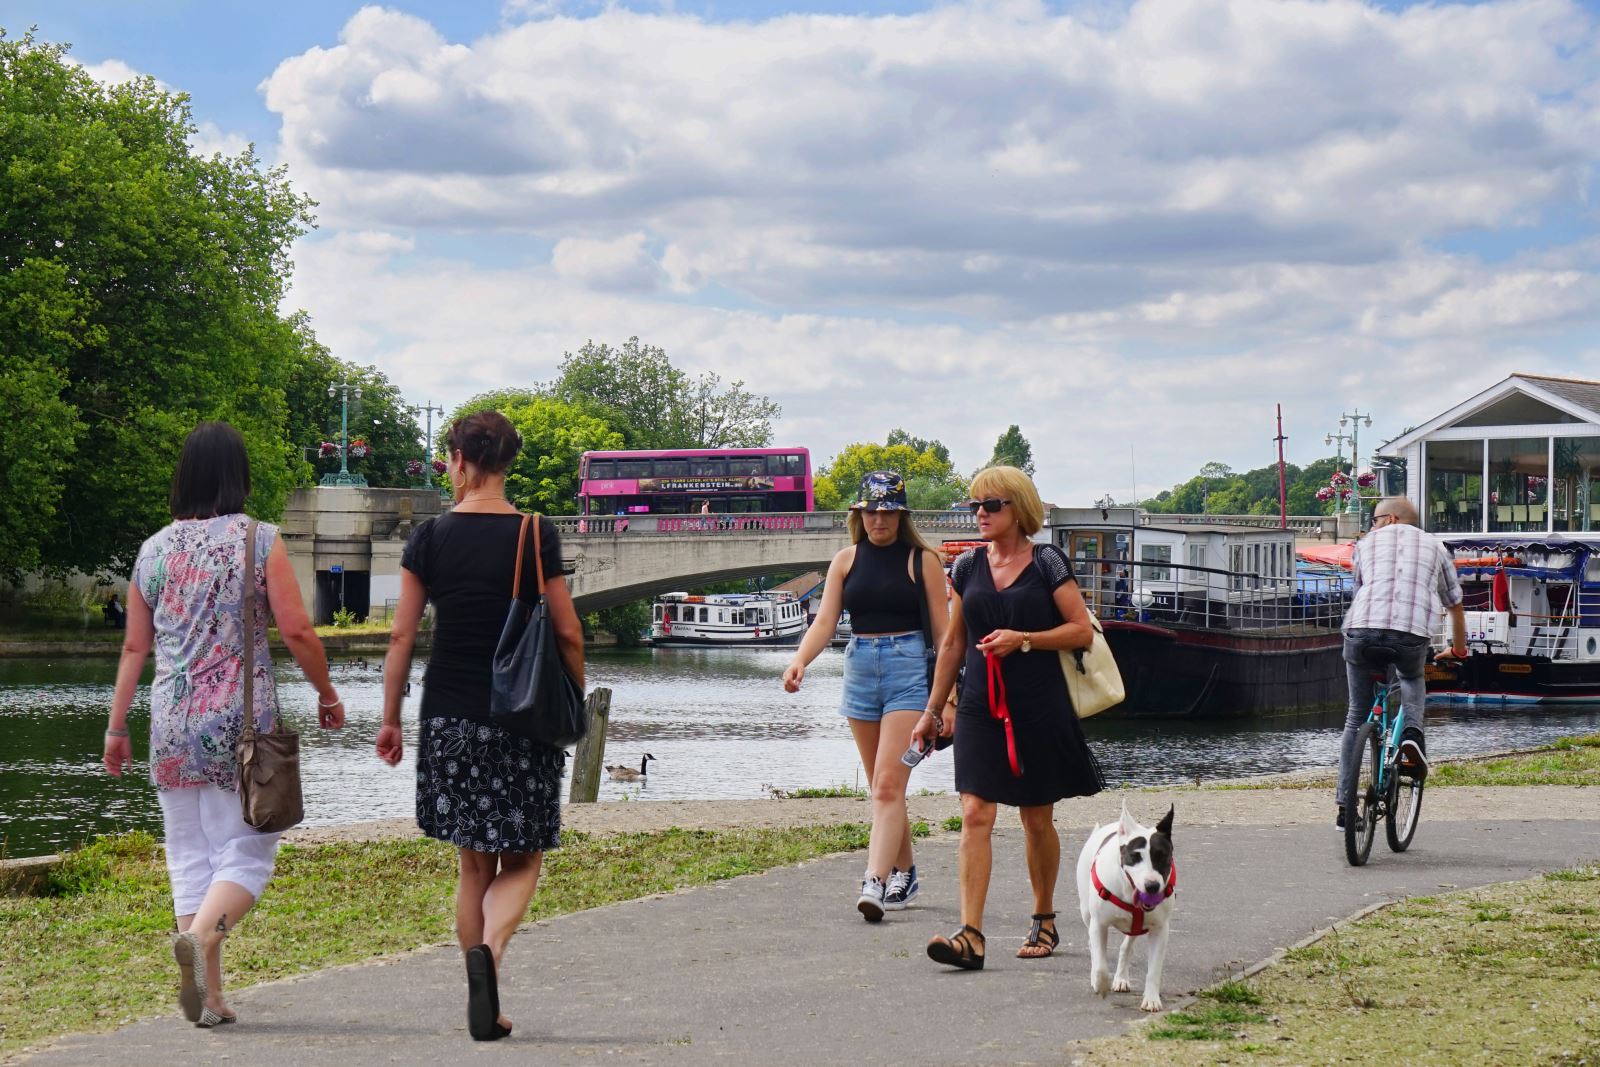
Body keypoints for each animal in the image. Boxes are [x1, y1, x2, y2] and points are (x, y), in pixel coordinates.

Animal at [1075, 806, 1177, 1017]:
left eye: (1162, 856)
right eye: (1135, 856)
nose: (1152, 886)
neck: (1129, 891)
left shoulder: (1160, 930)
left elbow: (1154, 969)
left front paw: (1151, 999)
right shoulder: (1099, 924)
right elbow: (1101, 964)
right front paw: (1100, 984)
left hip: (1135, 926)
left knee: (1127, 946)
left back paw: (1121, 978)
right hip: (1086, 912)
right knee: (1092, 945)